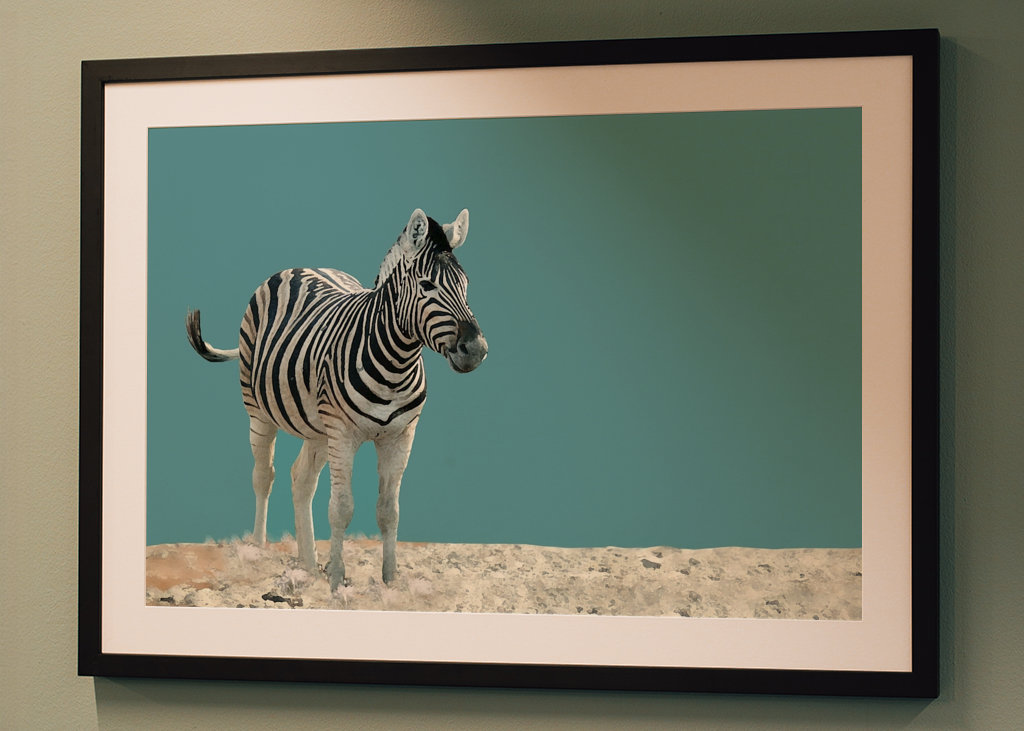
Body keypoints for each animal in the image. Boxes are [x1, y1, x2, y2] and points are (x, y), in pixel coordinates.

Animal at [184, 208, 487, 589]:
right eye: (427, 286)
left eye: (466, 285)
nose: (476, 350)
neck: (396, 362)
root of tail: (301, 266)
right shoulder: (343, 433)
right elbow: (341, 507)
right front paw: (337, 581)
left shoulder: (400, 435)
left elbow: (389, 511)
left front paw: (389, 583)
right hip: (259, 411)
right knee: (264, 474)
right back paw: (258, 551)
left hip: (317, 427)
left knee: (301, 479)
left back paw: (308, 565)